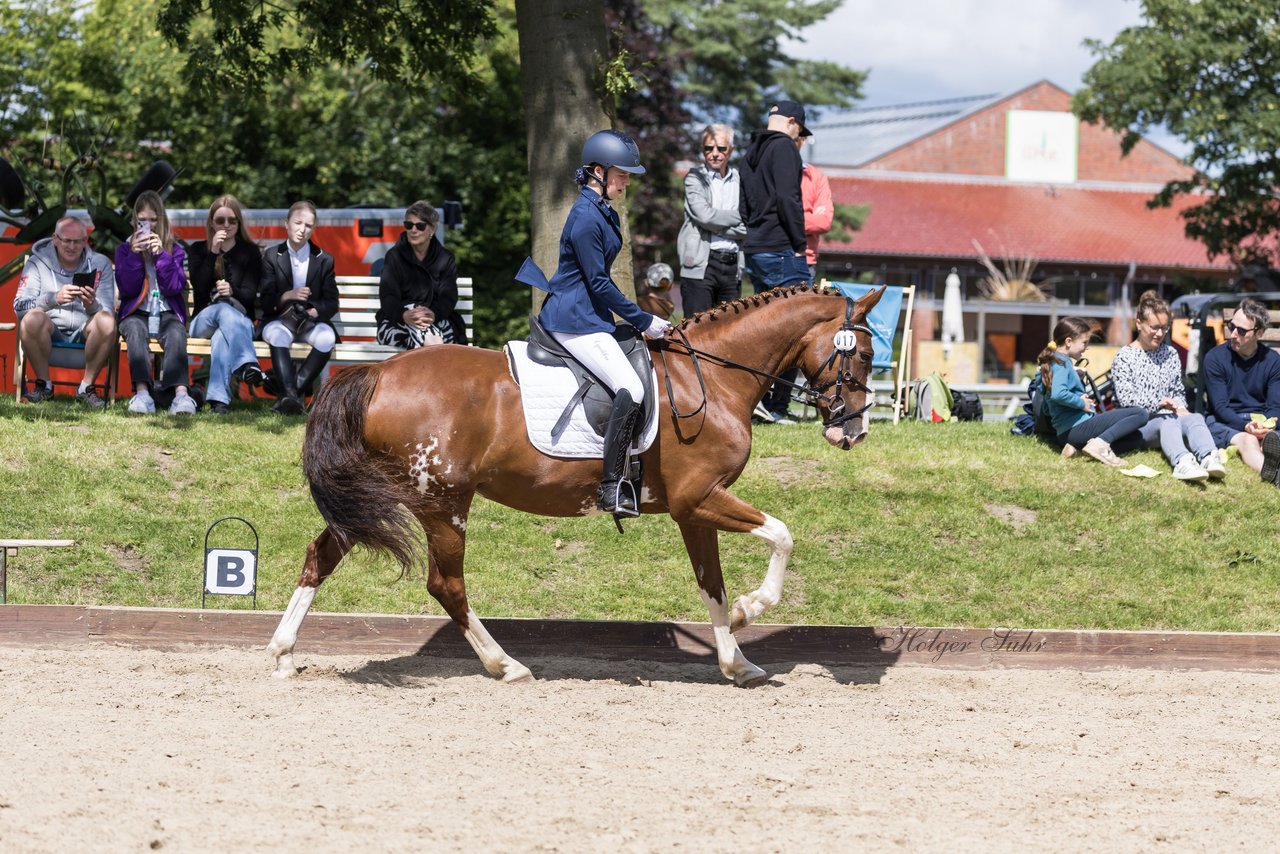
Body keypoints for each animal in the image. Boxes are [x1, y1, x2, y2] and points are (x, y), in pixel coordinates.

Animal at [270, 286, 885, 686]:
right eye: (863, 353)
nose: (854, 430)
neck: (711, 376)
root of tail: (375, 373)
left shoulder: (692, 511)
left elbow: (711, 582)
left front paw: (736, 660)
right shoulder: (702, 499)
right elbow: (781, 535)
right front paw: (749, 611)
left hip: (379, 497)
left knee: (320, 557)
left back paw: (282, 653)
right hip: (441, 503)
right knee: (446, 585)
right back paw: (506, 665)